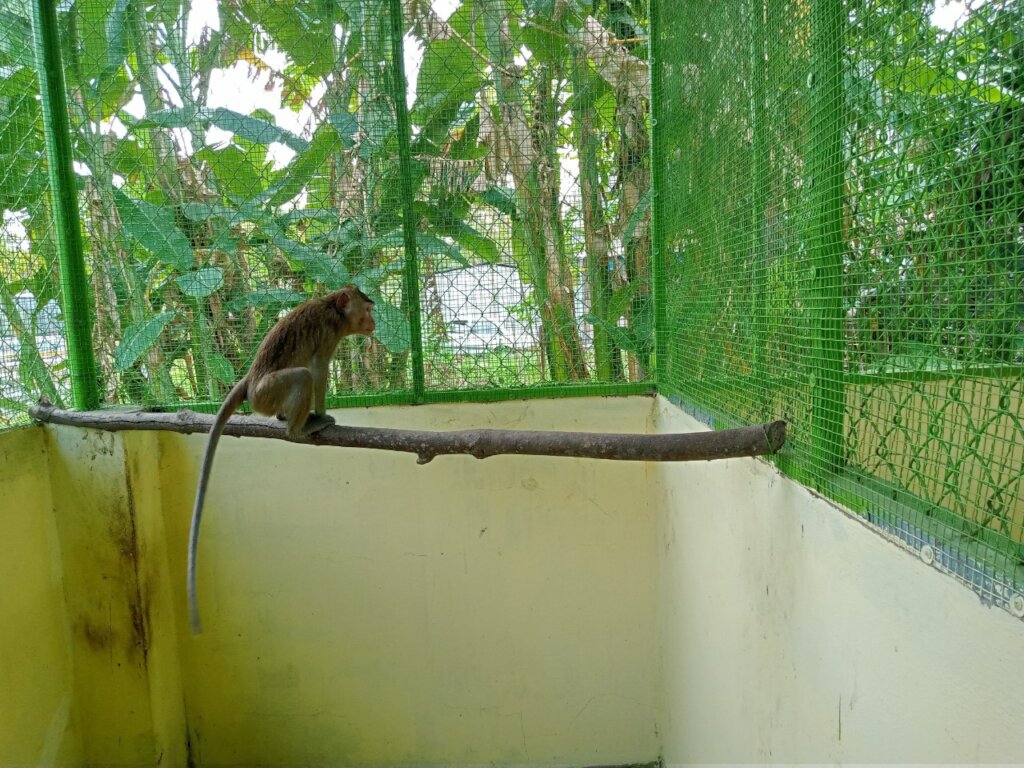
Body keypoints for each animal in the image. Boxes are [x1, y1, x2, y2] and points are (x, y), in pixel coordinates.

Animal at [188, 284, 376, 634]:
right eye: (368, 309)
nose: (375, 322)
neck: (331, 307)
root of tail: (250, 382)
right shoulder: (329, 332)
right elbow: (319, 369)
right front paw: (322, 413)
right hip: (268, 392)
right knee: (302, 376)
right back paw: (297, 427)